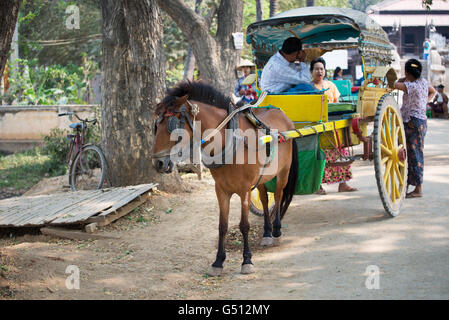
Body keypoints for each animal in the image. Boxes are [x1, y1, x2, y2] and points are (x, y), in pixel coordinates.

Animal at [151, 81, 298, 276]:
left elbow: (244, 225)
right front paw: (218, 262)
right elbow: (222, 225)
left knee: (280, 195)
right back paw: (266, 233)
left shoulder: (244, 189)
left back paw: (276, 231)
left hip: (283, 172)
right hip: (262, 177)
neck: (230, 141)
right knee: (265, 199)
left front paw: (247, 260)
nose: (158, 163)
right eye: (156, 125)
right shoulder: (220, 189)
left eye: (173, 125)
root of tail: (284, 116)